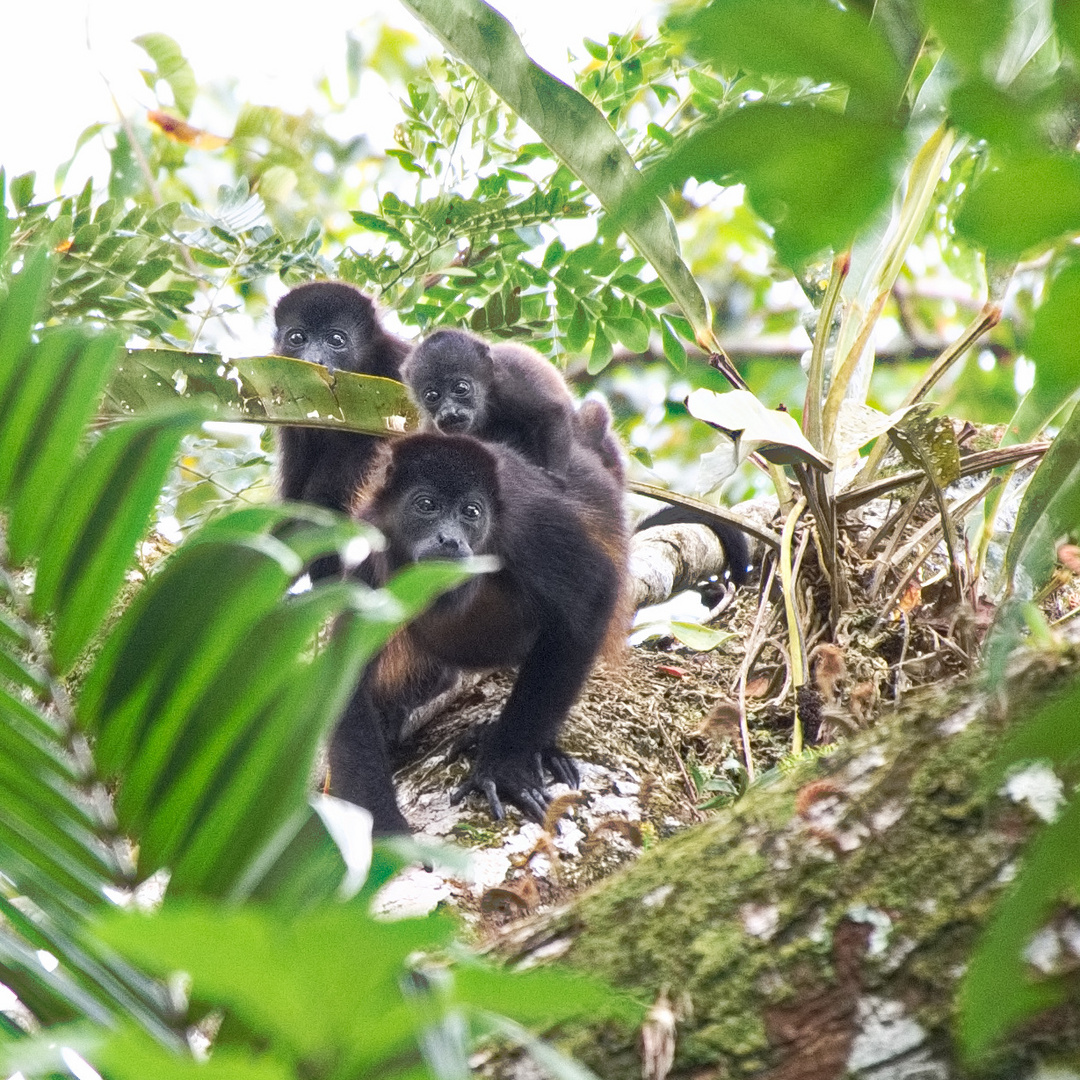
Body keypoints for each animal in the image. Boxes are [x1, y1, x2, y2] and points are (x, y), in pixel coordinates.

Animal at [332, 429, 630, 833]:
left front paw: (505, 769)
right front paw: (385, 826)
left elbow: (591, 595)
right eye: (426, 505)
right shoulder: (369, 544)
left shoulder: (528, 525)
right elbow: (346, 675)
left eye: (471, 512)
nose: (450, 539)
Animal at [401, 328, 583, 481]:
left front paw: (555, 473)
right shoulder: (431, 427)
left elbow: (552, 412)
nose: (449, 412)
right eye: (432, 396)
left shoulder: (514, 375)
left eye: (461, 388)